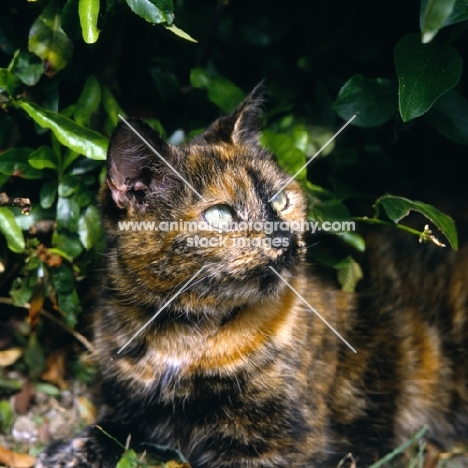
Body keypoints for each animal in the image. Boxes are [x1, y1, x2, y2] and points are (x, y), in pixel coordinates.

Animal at [36, 86, 468, 466]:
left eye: (281, 199)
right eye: (220, 215)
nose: (283, 238)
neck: (180, 337)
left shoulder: (279, 443)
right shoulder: (134, 404)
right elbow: (108, 427)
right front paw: (67, 451)